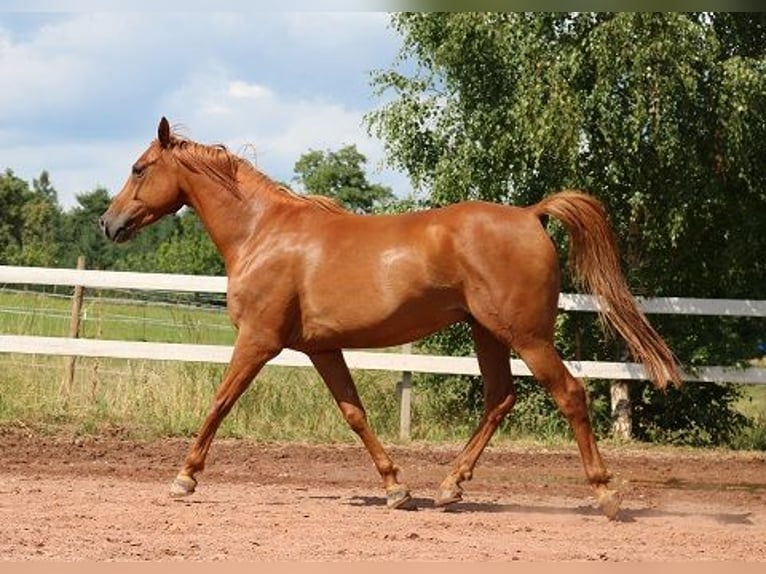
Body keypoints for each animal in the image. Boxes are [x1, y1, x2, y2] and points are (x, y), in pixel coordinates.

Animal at [100, 117, 682, 519]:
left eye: (138, 168)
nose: (108, 223)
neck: (262, 233)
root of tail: (529, 214)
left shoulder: (259, 340)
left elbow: (220, 402)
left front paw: (184, 477)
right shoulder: (321, 348)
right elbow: (354, 414)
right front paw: (396, 489)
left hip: (527, 335)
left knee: (569, 394)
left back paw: (605, 496)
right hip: (487, 332)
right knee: (500, 398)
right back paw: (448, 488)